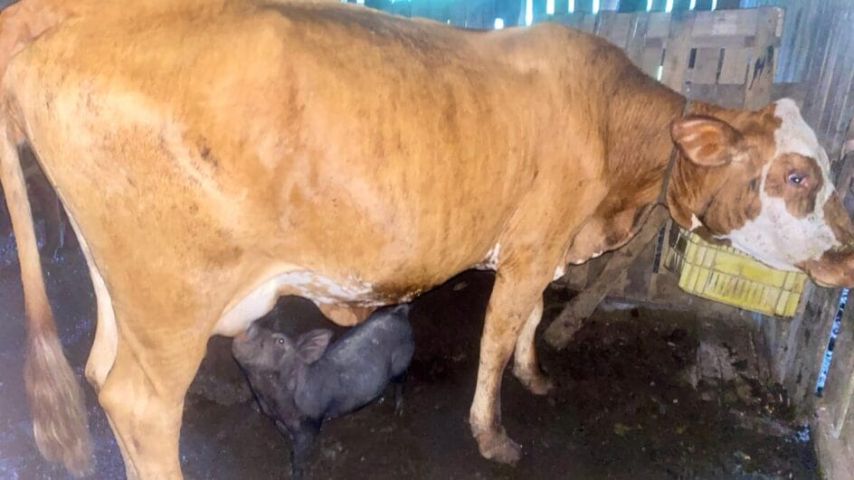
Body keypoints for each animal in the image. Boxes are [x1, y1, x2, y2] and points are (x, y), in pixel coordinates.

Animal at [1, 0, 852, 478]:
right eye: (797, 174)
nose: (845, 254)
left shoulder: (548, 247)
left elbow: (533, 322)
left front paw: (537, 375)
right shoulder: (532, 244)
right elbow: (500, 334)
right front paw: (493, 435)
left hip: (123, 293)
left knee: (98, 372)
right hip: (173, 300)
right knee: (141, 406)